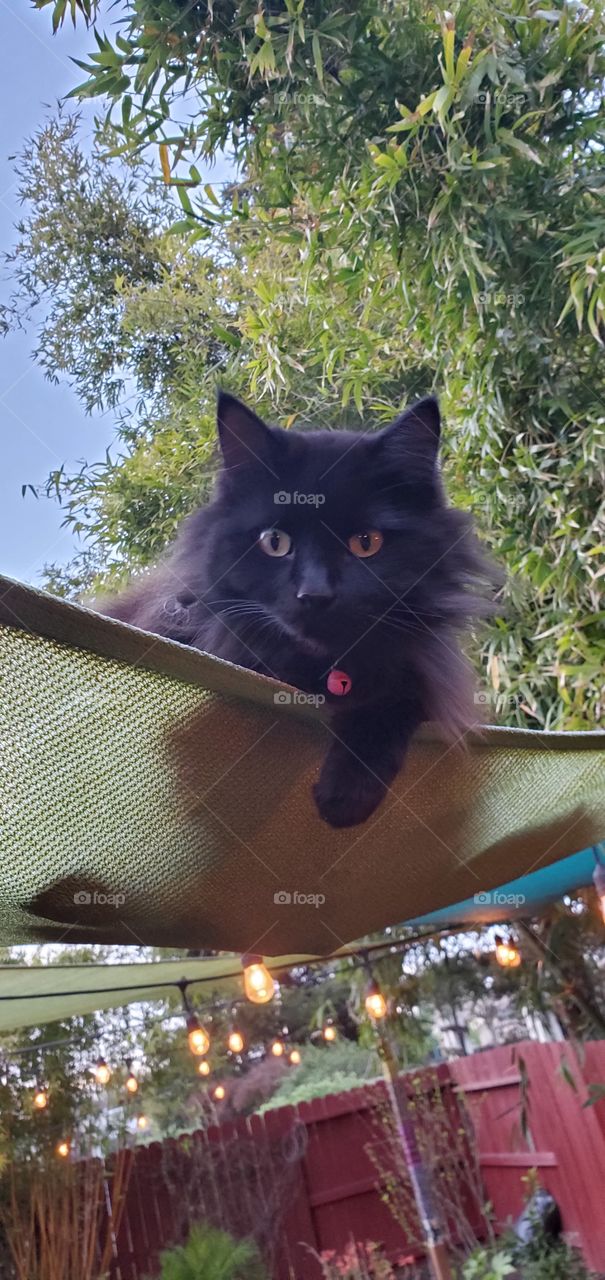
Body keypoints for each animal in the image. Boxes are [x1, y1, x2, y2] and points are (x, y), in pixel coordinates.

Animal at [100, 391, 496, 829]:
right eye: (275, 542)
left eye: (366, 543)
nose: (315, 594)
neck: (321, 672)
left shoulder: (426, 670)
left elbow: (397, 697)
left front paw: (347, 795)